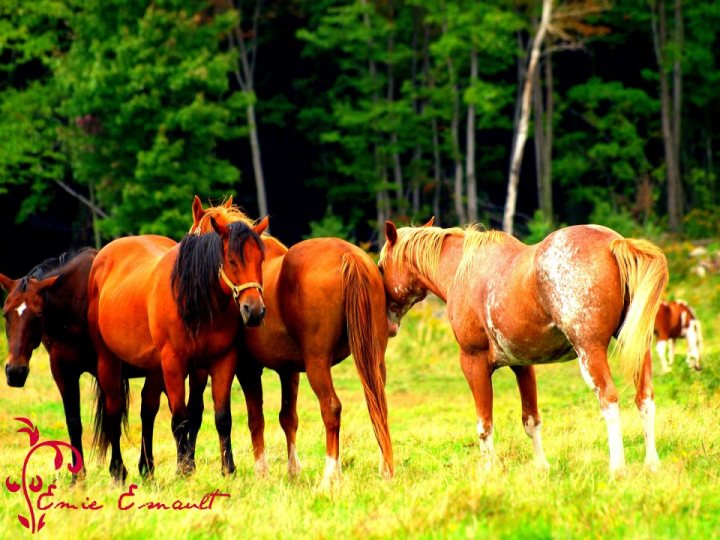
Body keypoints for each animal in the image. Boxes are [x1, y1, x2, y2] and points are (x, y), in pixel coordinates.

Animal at [0, 250, 172, 478]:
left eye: (38, 315)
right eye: (5, 314)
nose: (15, 372)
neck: (76, 303)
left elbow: (115, 417)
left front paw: (118, 471)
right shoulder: (63, 371)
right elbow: (74, 421)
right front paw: (78, 476)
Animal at [87, 217, 267, 481]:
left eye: (260, 260)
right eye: (233, 260)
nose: (254, 311)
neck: (198, 303)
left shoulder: (222, 360)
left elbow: (221, 417)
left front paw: (228, 468)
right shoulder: (174, 363)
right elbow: (180, 419)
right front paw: (185, 470)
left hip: (154, 368)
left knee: (147, 410)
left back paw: (147, 468)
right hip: (108, 360)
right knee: (114, 411)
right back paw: (118, 471)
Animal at [189, 197, 393, 488]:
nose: (253, 312)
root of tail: (349, 256)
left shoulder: (247, 369)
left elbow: (256, 419)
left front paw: (261, 471)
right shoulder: (289, 371)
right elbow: (288, 418)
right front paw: (293, 470)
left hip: (318, 364)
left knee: (331, 408)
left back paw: (330, 475)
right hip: (374, 357)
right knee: (377, 402)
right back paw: (386, 467)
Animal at [379, 220, 668, 476]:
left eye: (381, 267)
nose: (388, 325)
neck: (463, 270)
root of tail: (613, 243)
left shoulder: (473, 363)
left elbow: (484, 424)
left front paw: (489, 469)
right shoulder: (523, 365)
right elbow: (531, 420)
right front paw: (542, 467)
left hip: (590, 353)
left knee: (609, 400)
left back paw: (617, 469)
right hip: (638, 348)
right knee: (645, 397)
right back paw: (652, 464)